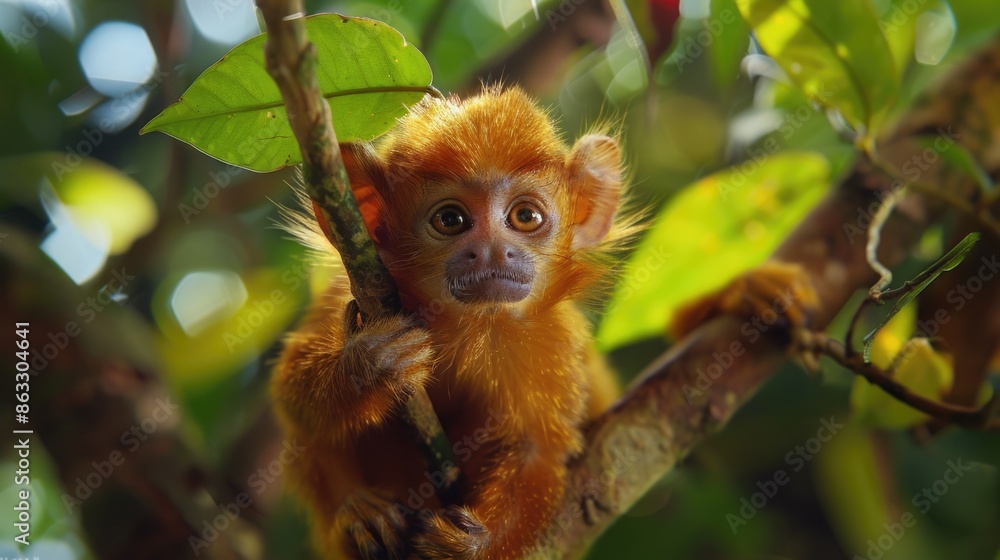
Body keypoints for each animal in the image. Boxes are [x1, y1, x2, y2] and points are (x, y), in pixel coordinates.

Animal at [271, 85, 818, 559]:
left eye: (525, 217)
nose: (493, 252)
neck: (469, 325)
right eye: (450, 220)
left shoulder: (550, 341)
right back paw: (359, 515)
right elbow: (293, 401)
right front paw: (369, 367)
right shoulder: (357, 295)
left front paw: (473, 544)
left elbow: (538, 452)